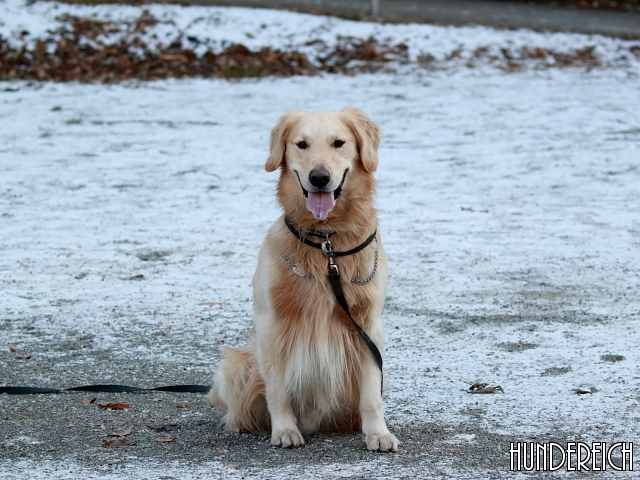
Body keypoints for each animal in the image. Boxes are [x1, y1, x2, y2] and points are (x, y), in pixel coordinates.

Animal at [210, 107, 398, 452]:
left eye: (339, 143)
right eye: (301, 144)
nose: (319, 177)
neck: (327, 243)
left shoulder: (367, 323)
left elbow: (370, 393)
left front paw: (378, 433)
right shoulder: (272, 324)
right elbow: (279, 389)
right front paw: (284, 430)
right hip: (235, 364)